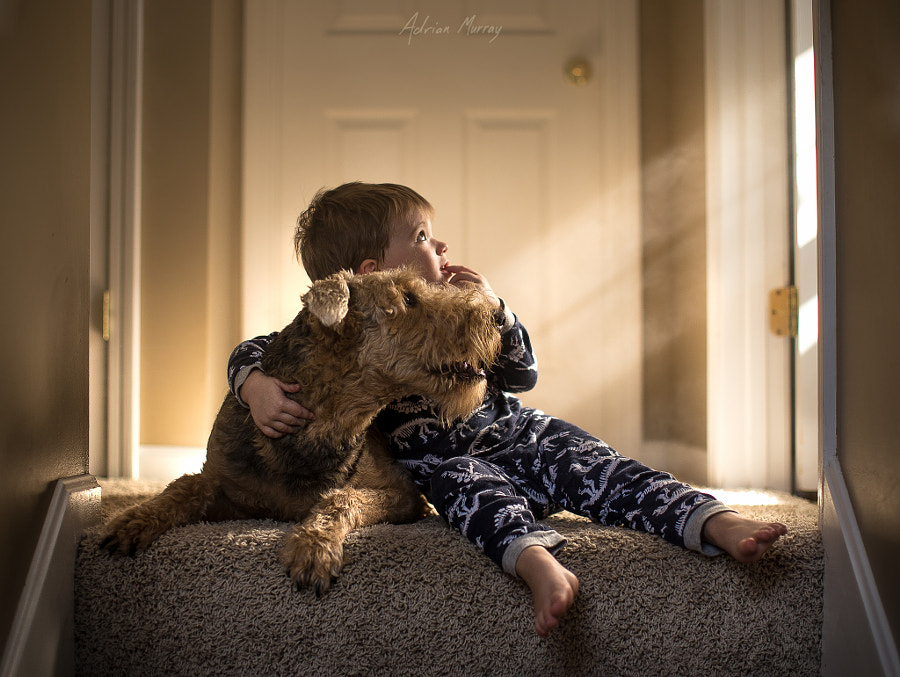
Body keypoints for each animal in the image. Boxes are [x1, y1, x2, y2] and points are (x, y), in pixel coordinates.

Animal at [103, 270, 506, 592]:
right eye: (408, 298)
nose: (499, 315)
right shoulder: (228, 488)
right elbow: (184, 486)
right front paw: (128, 523)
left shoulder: (403, 495)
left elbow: (341, 497)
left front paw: (313, 550)